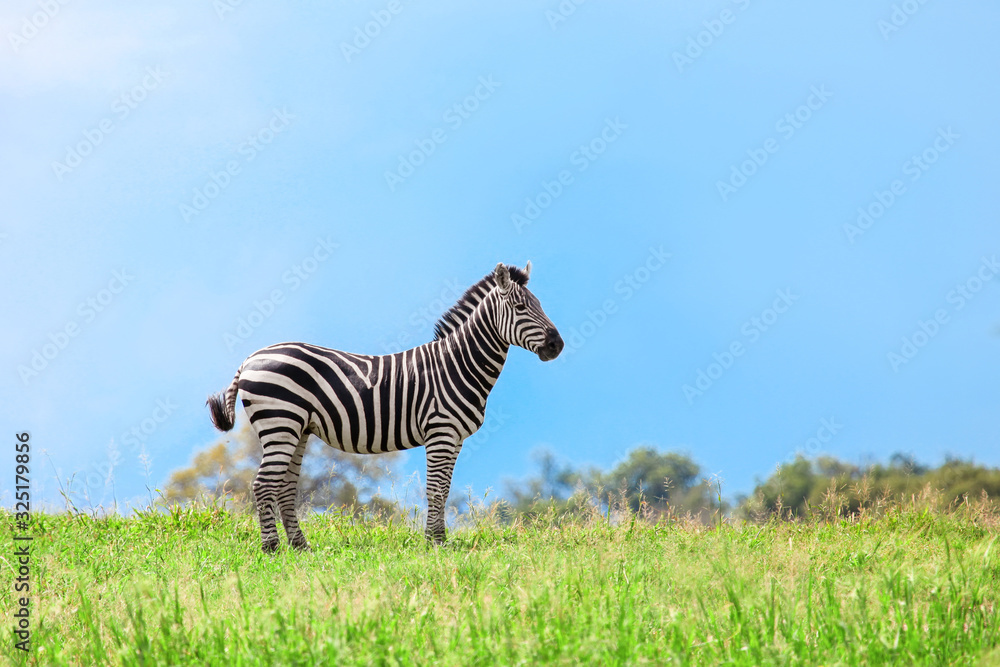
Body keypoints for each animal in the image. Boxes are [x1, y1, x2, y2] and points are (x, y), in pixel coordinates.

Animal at [207, 262, 564, 551]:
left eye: (540, 305)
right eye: (520, 307)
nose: (557, 345)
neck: (458, 364)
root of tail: (250, 358)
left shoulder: (455, 439)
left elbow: (445, 489)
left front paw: (440, 540)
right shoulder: (440, 432)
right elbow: (435, 489)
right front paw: (434, 544)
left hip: (297, 429)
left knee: (284, 486)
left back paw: (301, 547)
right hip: (280, 423)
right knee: (264, 484)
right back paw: (271, 549)